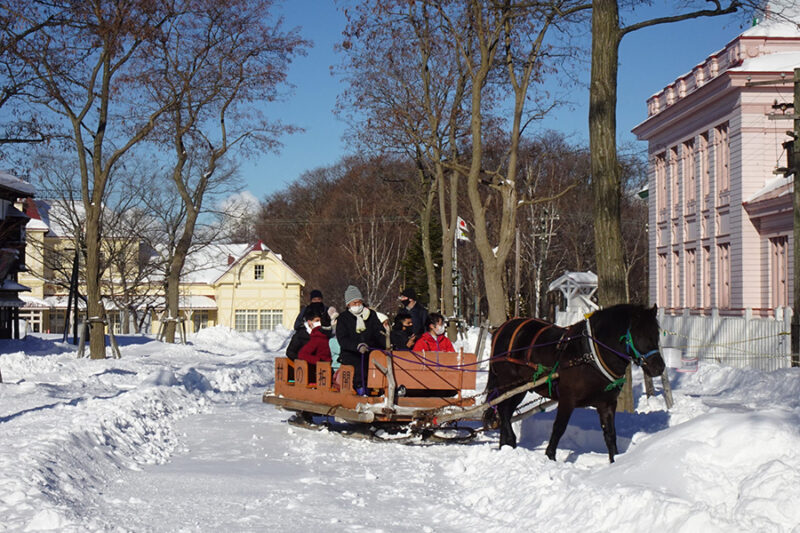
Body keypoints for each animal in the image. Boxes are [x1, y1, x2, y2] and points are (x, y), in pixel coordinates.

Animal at [484, 304, 664, 462]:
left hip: (520, 388)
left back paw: (506, 446)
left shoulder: (607, 403)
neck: (588, 356)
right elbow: (559, 428)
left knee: (506, 412)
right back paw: (509, 441)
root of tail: (503, 328)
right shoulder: (567, 399)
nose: (659, 367)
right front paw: (550, 457)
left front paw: (615, 461)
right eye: (639, 335)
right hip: (508, 383)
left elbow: (610, 435)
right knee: (503, 411)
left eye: (657, 334)